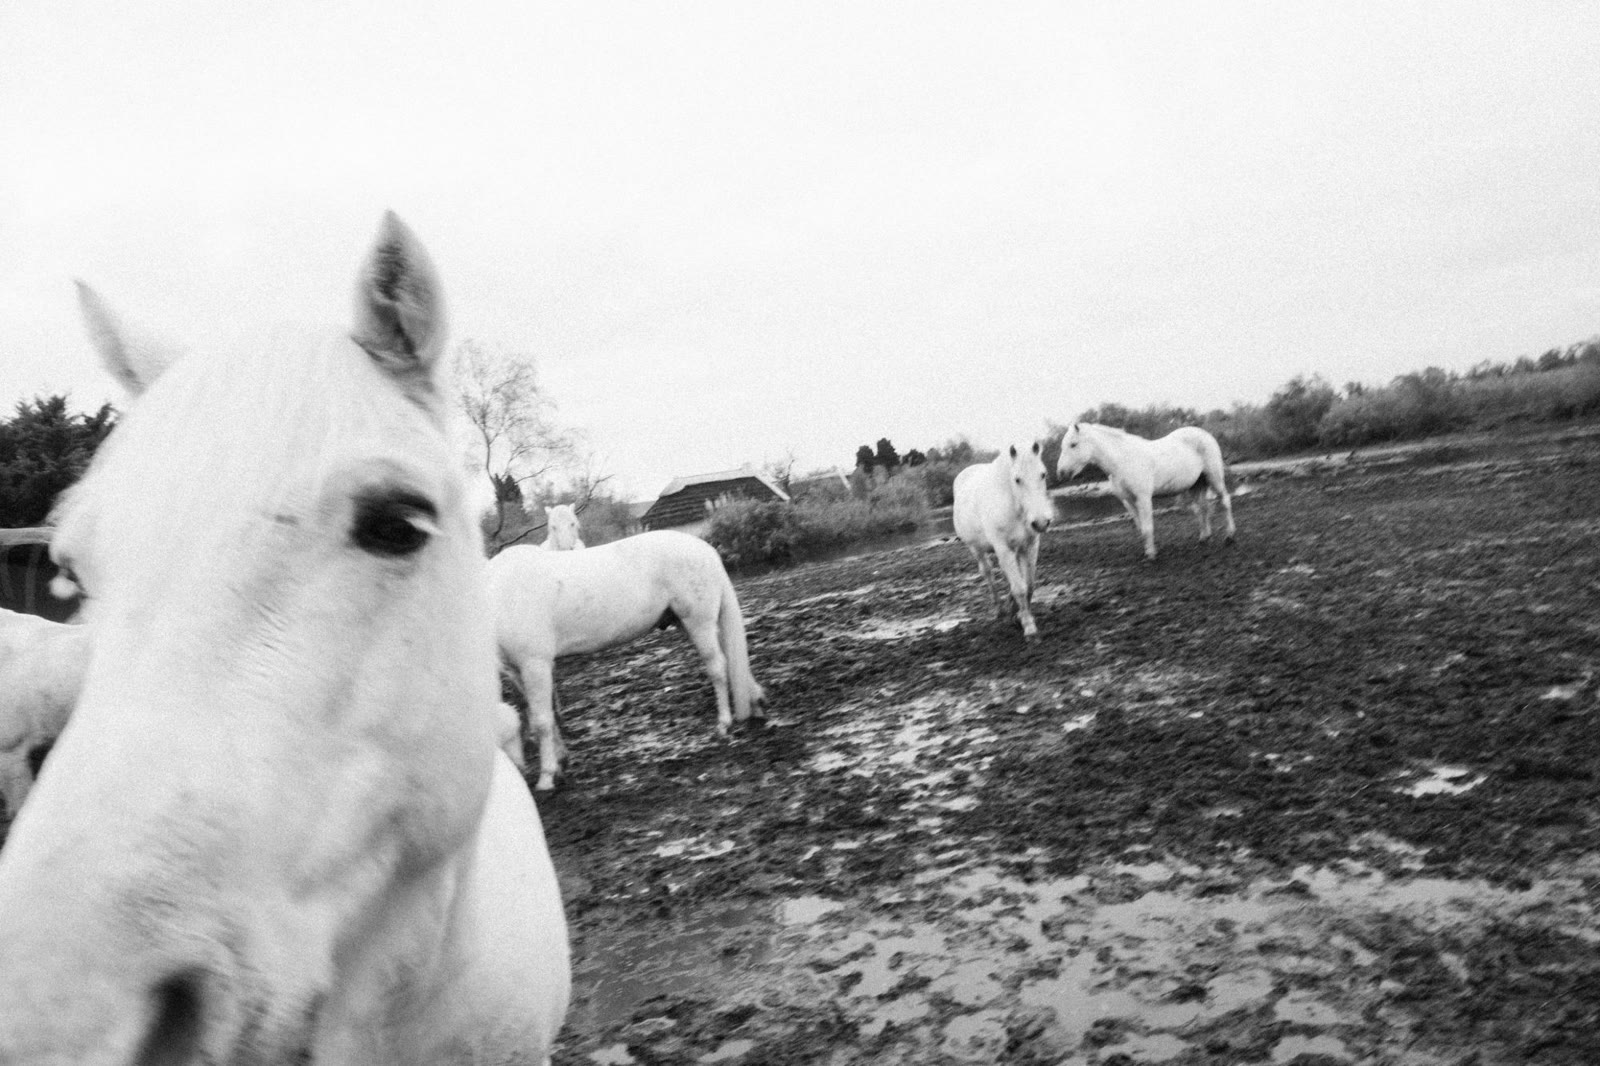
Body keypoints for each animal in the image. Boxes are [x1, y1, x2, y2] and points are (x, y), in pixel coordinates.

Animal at [487, 529, 766, 792]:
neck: (501, 594)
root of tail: (706, 550)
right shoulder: (517, 670)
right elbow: (546, 716)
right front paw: (561, 762)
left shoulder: (535, 664)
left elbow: (542, 721)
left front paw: (546, 777)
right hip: (689, 623)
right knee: (731, 658)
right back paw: (756, 703)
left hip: (699, 623)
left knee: (717, 667)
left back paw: (724, 724)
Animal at [952, 442, 1056, 641]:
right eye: (1017, 479)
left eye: (1043, 474)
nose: (1040, 522)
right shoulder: (1003, 549)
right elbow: (1020, 588)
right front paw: (1029, 626)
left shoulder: (1030, 546)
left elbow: (1028, 585)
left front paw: (1018, 614)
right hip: (976, 549)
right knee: (988, 573)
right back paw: (999, 609)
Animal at [1056, 422, 1236, 560]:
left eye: (1073, 444)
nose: (1061, 473)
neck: (1123, 461)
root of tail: (1205, 434)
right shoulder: (1128, 501)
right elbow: (1141, 529)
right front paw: (1148, 552)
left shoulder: (1143, 498)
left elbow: (1148, 527)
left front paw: (1151, 555)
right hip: (1195, 485)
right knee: (1203, 508)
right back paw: (1204, 538)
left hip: (1214, 477)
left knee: (1224, 502)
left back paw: (1229, 537)